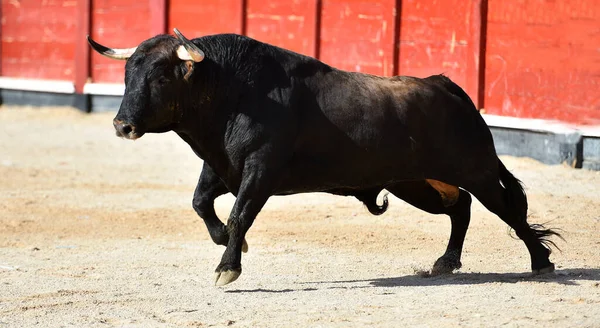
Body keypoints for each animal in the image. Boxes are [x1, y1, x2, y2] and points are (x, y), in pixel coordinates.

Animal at [86, 28, 560, 284]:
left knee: (507, 209)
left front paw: (228, 267)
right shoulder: (221, 167)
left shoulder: (260, 171)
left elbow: (239, 215)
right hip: (416, 182)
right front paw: (226, 245)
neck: (231, 92)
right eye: (128, 74)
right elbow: (201, 203)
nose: (122, 125)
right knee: (460, 207)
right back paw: (445, 263)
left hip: (476, 171)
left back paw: (541, 263)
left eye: (161, 76)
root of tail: (447, 85)